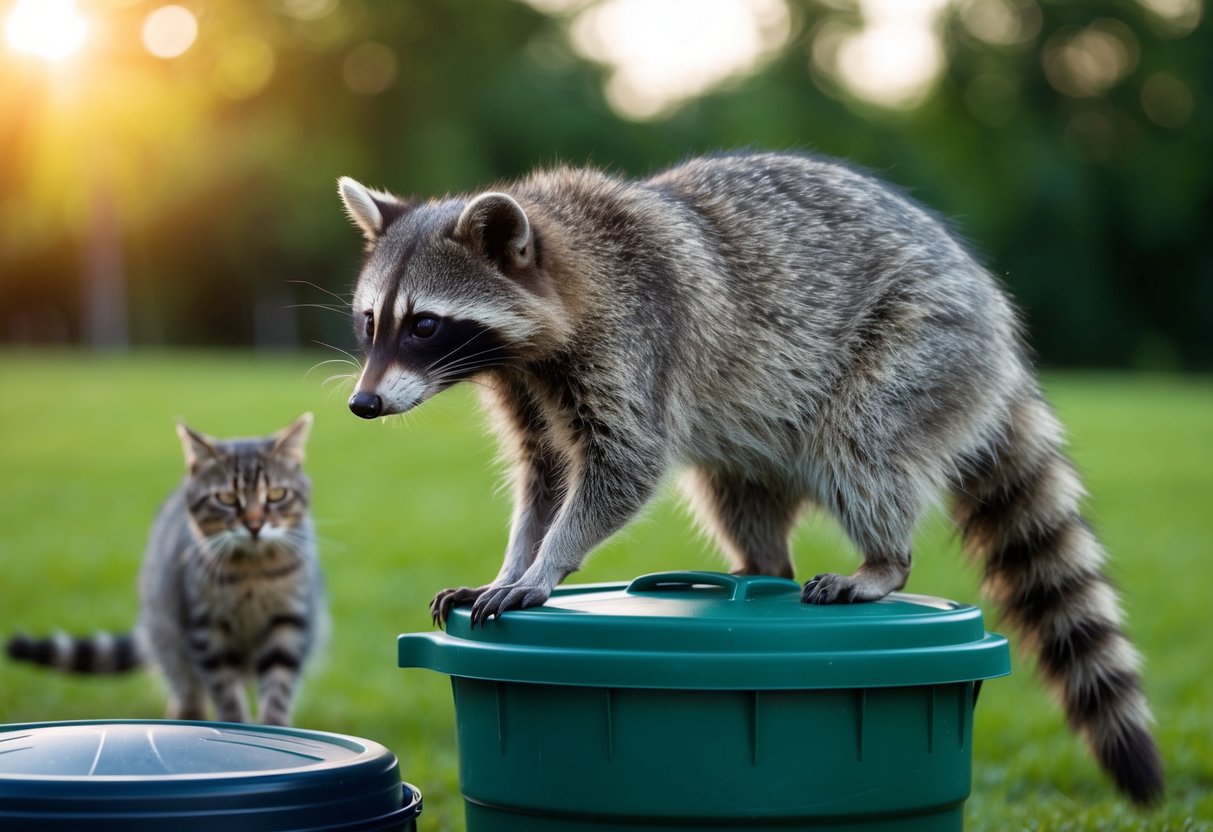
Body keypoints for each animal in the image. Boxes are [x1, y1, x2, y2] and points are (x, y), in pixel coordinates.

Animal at [7, 414, 324, 726]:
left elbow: (278, 689)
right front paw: (235, 726)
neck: (252, 574)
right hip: (168, 638)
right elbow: (227, 695)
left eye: (277, 494)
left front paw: (275, 728)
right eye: (227, 499)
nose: (255, 525)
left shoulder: (289, 621)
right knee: (187, 693)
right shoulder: (207, 628)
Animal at [338, 151, 1162, 804]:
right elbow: (542, 479)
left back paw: (882, 561)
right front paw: (514, 559)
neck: (563, 260)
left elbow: (622, 466)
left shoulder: (635, 338)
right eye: (369, 323)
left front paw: (545, 564)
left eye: (424, 325)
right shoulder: (526, 387)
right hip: (765, 427)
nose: (363, 404)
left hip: (922, 342)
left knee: (861, 445)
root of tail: (996, 327)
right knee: (735, 490)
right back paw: (759, 563)